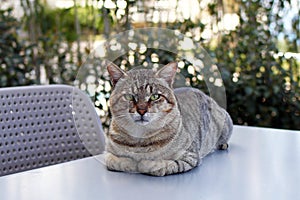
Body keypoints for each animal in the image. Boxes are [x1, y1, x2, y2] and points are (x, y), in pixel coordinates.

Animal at [105, 61, 234, 176]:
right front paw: (130, 162)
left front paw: (144, 163)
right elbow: (116, 161)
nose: (141, 111)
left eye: (155, 96)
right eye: (129, 97)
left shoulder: (190, 156)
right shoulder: (108, 155)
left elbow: (160, 164)